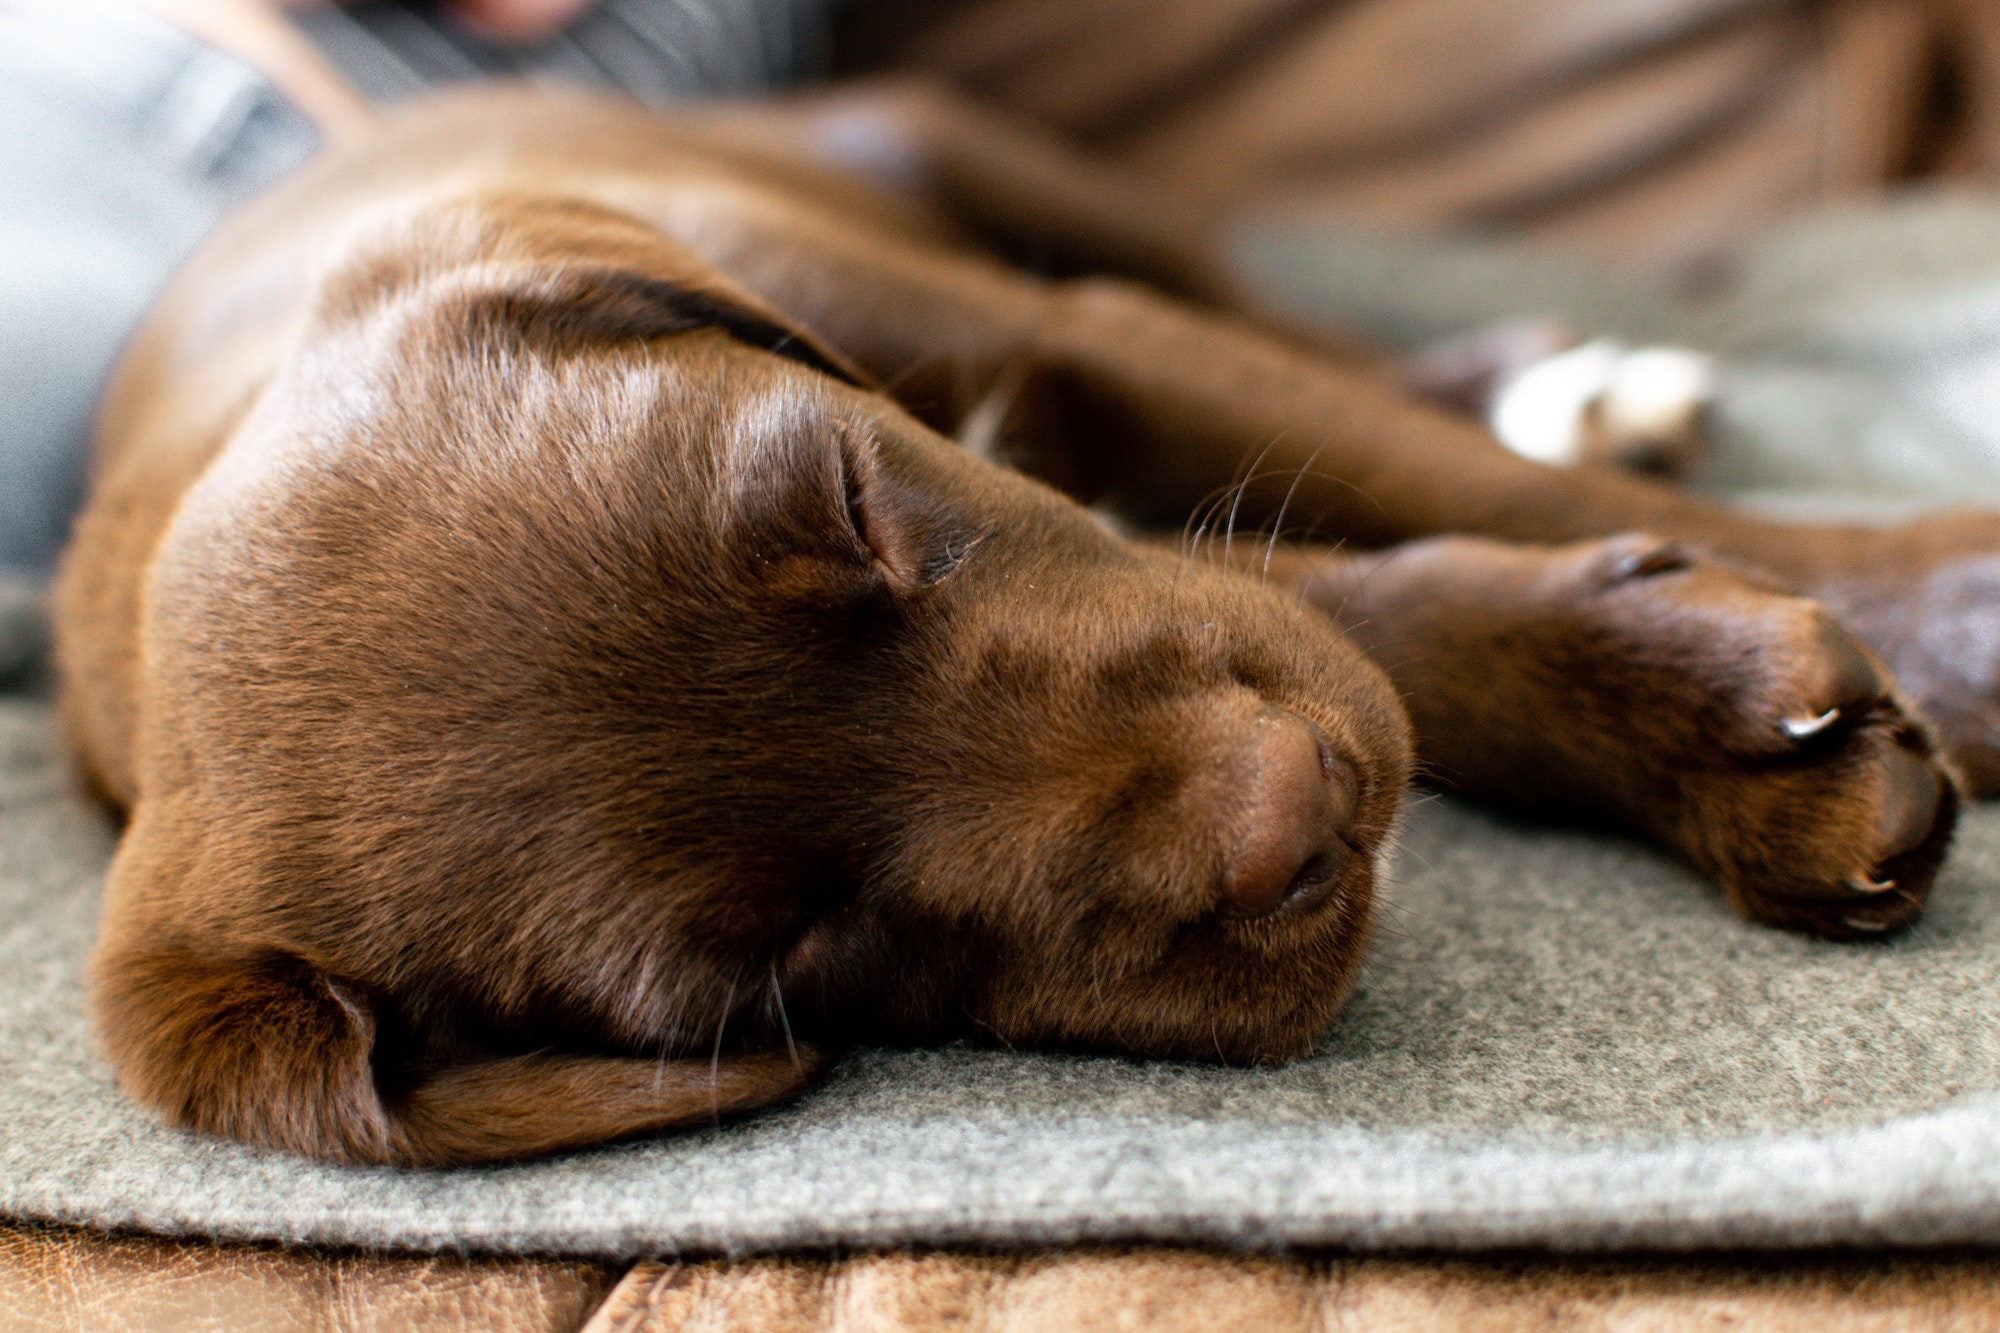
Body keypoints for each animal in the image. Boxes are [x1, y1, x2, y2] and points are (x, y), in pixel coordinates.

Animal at [54, 83, 1992, 1160]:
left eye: (846, 497)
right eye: (787, 958)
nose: (1295, 813)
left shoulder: (1069, 344)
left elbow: (1433, 508)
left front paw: (1937, 616)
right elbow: (1390, 610)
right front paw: (1732, 729)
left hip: (1006, 177)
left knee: (1320, 339)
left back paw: (1573, 387)